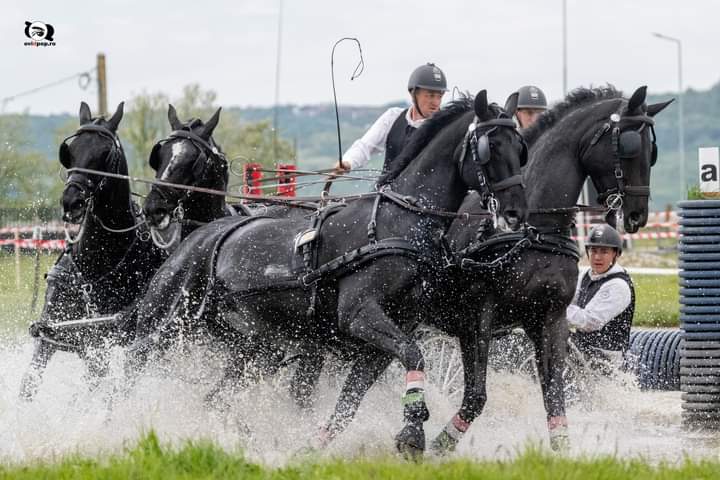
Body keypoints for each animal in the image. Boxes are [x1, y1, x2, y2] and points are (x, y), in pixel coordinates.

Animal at [122, 91, 529, 457]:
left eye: (519, 148)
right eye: (491, 147)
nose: (515, 213)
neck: (400, 221)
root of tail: (200, 235)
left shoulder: (386, 337)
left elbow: (351, 400)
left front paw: (311, 446)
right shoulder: (360, 316)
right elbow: (414, 357)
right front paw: (413, 430)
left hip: (258, 347)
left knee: (215, 397)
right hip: (167, 324)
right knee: (132, 363)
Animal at [302, 85, 673, 454]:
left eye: (652, 151)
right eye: (629, 145)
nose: (637, 214)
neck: (533, 231)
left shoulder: (549, 319)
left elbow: (555, 397)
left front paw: (562, 450)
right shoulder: (478, 317)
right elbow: (476, 396)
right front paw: (436, 444)